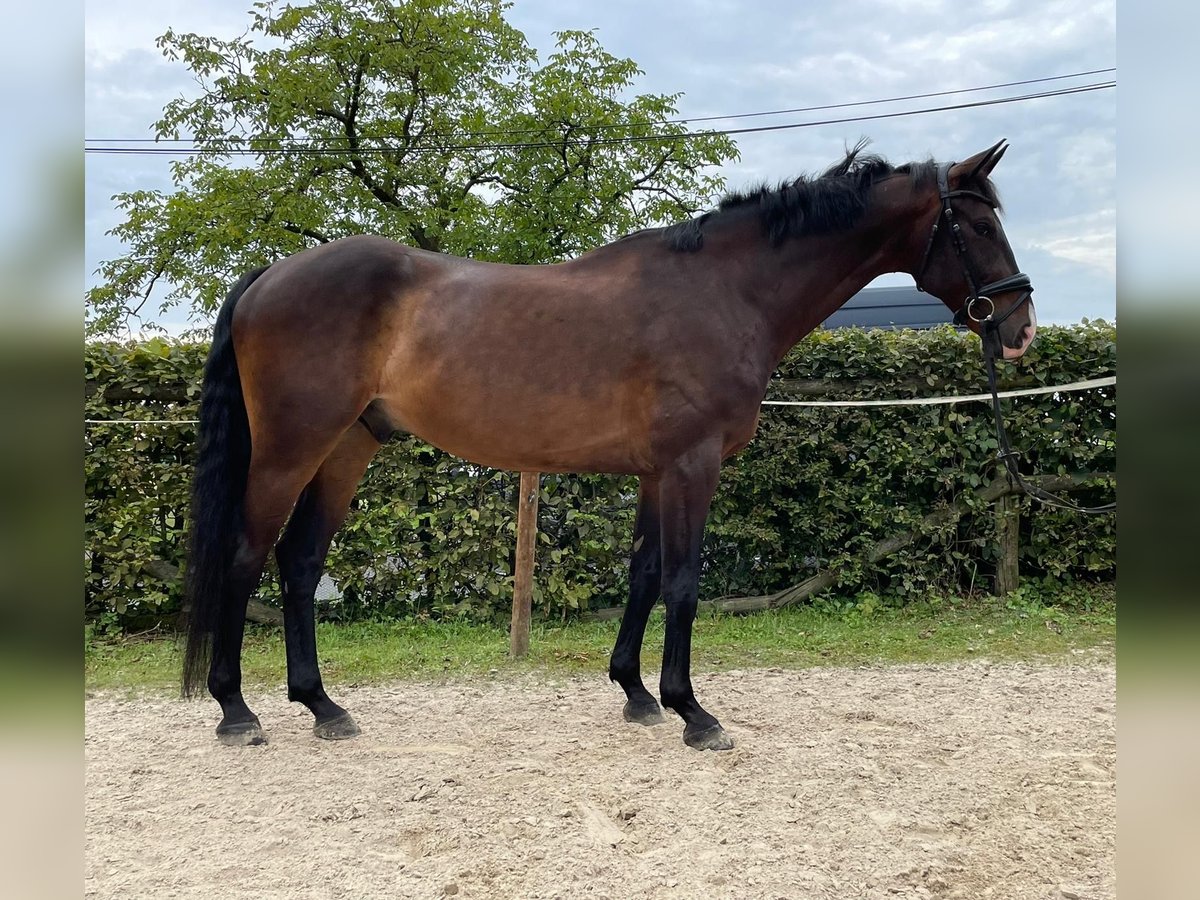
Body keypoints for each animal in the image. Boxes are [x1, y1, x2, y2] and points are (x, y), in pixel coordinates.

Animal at [182, 139, 1036, 748]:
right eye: (980, 226)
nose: (1020, 328)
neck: (723, 292)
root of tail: (270, 275)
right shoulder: (692, 466)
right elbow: (685, 581)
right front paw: (695, 713)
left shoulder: (657, 471)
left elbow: (645, 574)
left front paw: (636, 693)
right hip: (291, 451)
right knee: (246, 558)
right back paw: (236, 711)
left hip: (347, 449)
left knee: (299, 565)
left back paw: (323, 707)